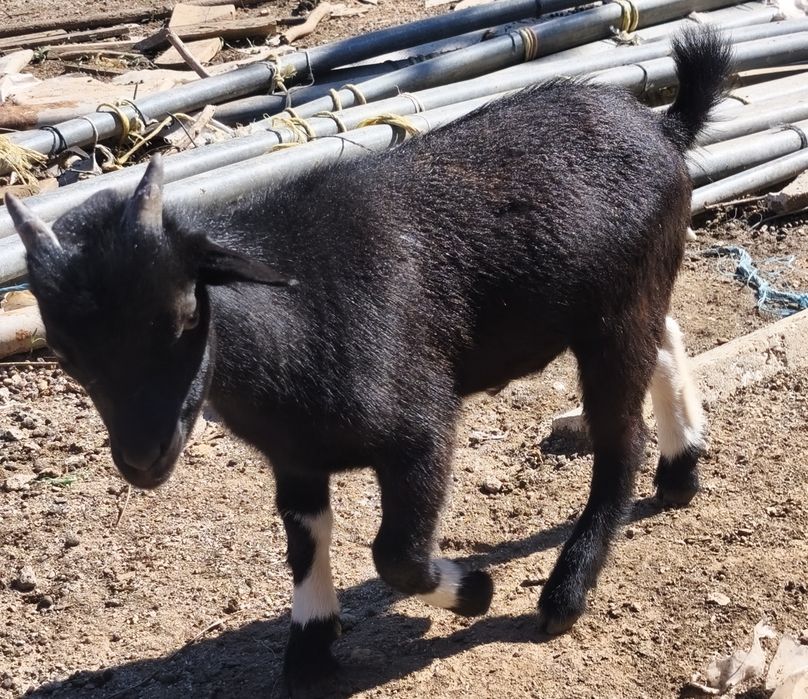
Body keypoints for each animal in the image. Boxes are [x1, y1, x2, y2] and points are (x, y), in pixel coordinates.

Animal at [7, 27, 729, 691]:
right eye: (64, 350)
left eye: (187, 312)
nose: (142, 458)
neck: (297, 315)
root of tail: (664, 126)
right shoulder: (293, 457)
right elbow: (306, 538)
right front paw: (309, 647)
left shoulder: (421, 430)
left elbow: (396, 555)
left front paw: (475, 592)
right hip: (625, 300)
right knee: (666, 338)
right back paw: (681, 469)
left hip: (616, 312)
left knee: (620, 438)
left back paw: (565, 592)